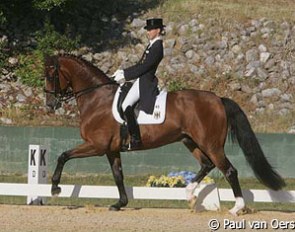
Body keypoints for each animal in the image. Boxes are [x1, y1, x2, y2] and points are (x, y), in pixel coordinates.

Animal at [44, 54, 286, 216]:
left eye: (51, 75)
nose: (50, 104)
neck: (96, 98)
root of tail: (218, 98)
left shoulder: (96, 145)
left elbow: (63, 156)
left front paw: (55, 188)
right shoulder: (111, 150)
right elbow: (118, 176)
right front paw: (120, 203)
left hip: (211, 144)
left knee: (229, 170)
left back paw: (236, 208)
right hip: (190, 141)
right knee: (207, 164)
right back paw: (189, 194)